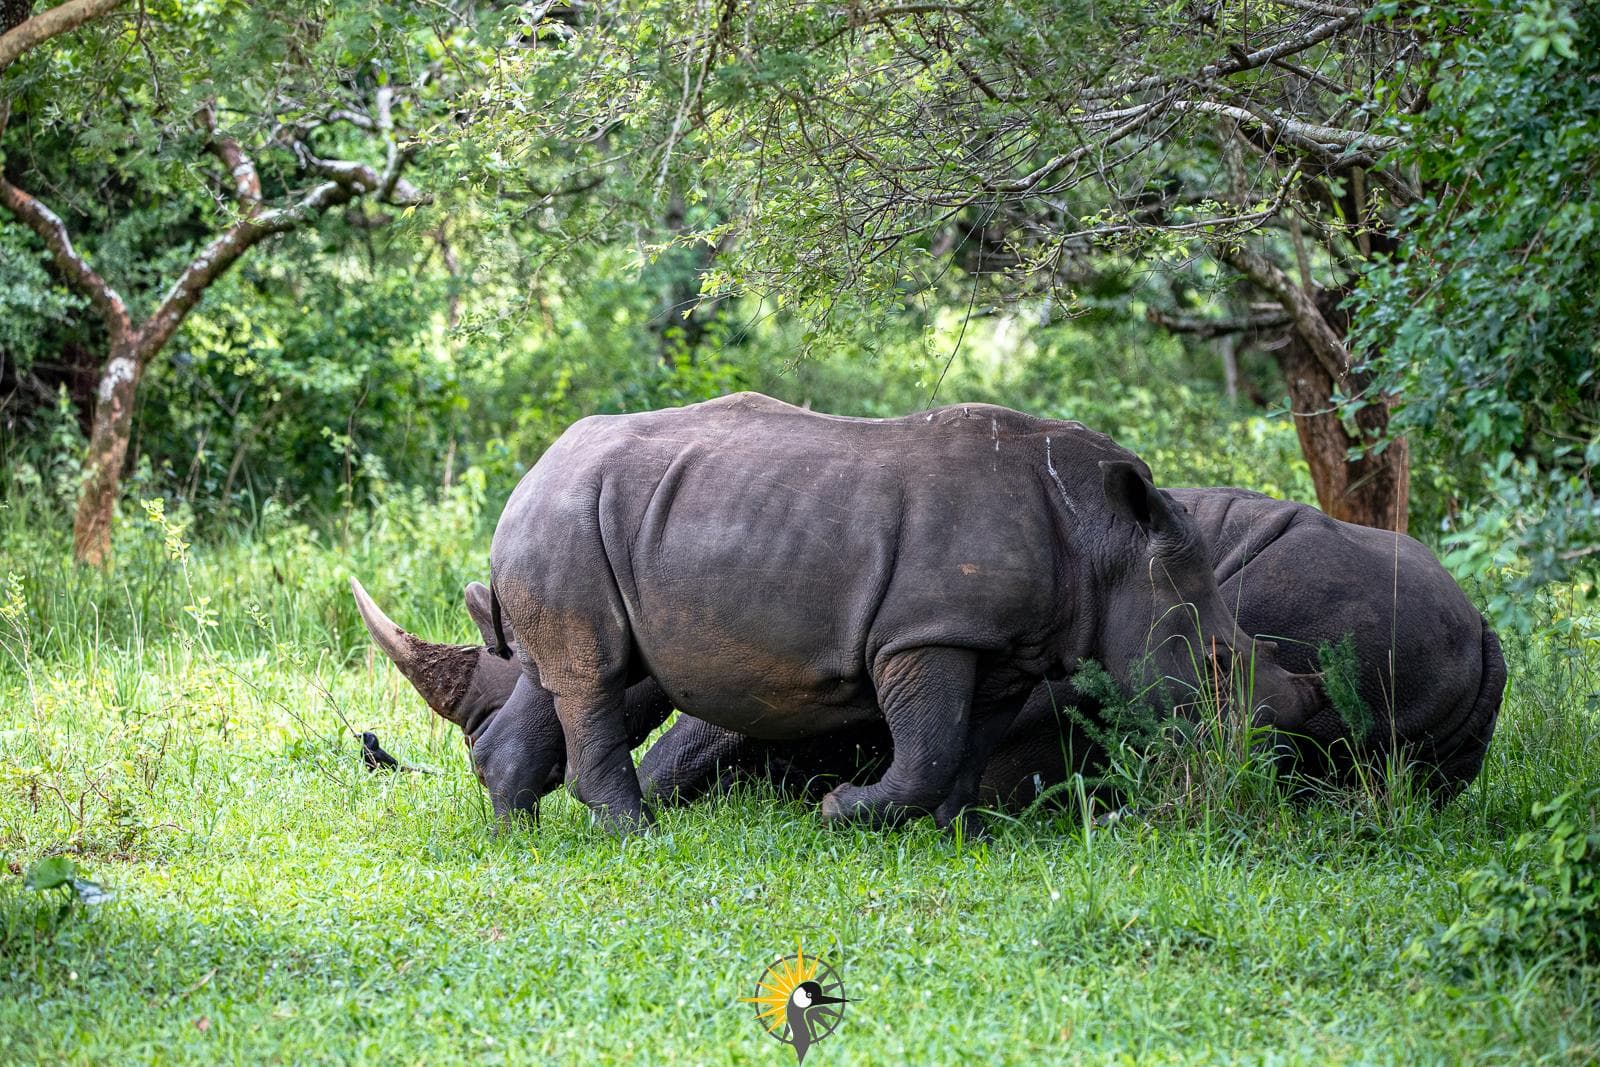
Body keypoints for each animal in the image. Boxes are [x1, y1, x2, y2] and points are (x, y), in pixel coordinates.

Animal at [351, 393, 1324, 832]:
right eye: (1217, 666)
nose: (1295, 719)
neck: (1104, 544)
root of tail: (529, 475)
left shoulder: (1000, 644)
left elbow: (962, 747)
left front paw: (954, 832)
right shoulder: (925, 632)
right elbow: (927, 743)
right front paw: (838, 808)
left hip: (585, 523)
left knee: (587, 669)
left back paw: (519, 824)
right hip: (566, 518)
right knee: (594, 677)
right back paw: (636, 835)